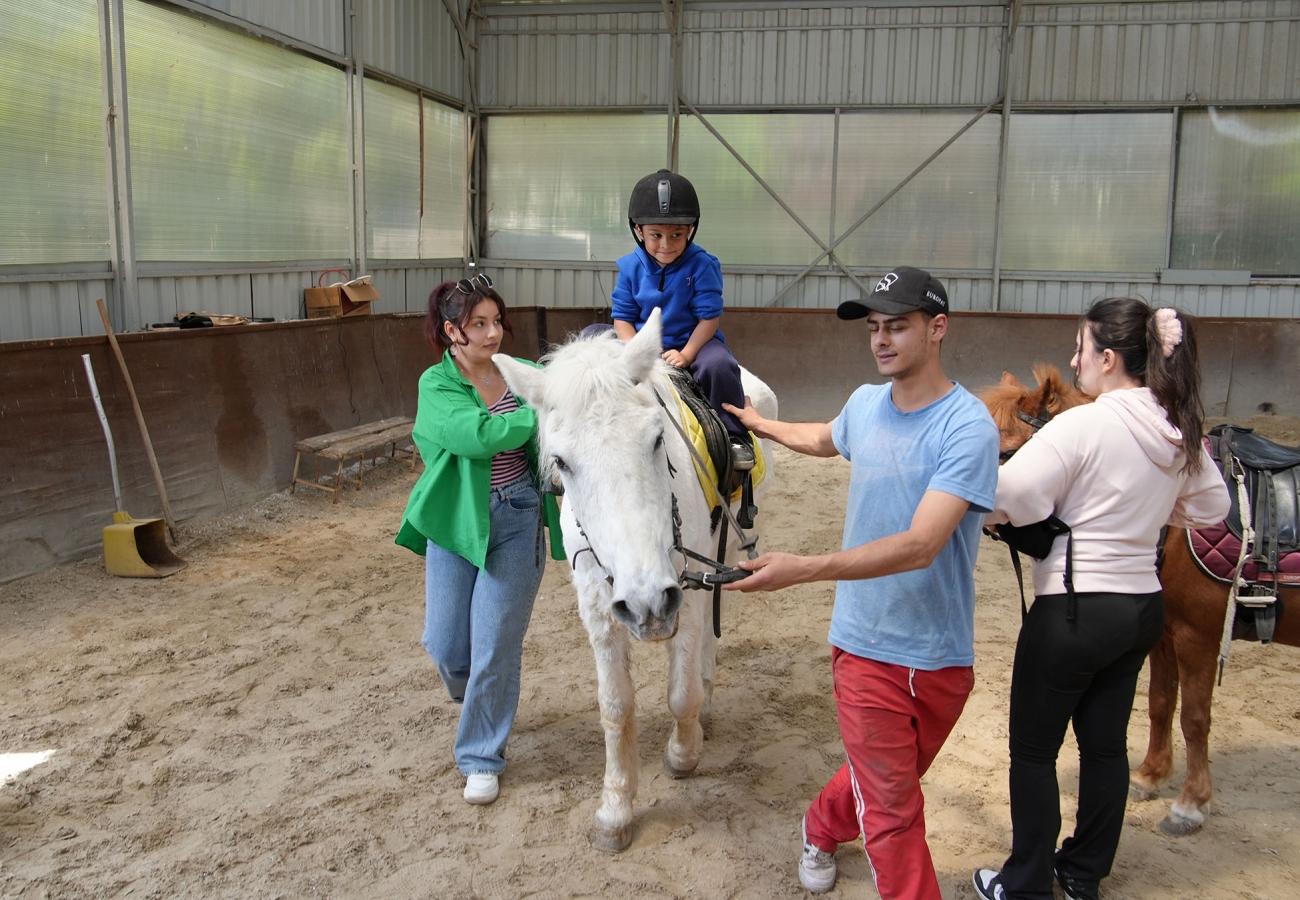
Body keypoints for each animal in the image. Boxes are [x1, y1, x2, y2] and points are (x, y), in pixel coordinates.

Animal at [493, 313, 780, 853]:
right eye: (561, 462)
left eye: (656, 440)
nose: (649, 604)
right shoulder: (599, 608)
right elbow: (615, 708)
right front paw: (615, 808)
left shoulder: (685, 592)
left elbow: (681, 694)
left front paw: (683, 754)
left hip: (722, 554)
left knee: (709, 638)